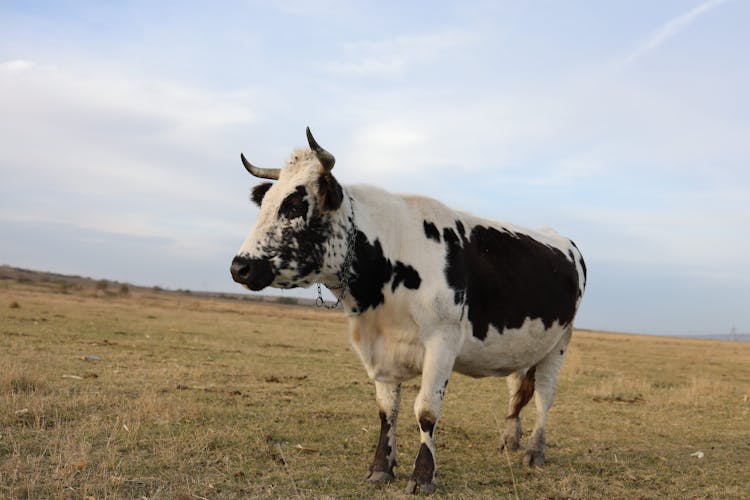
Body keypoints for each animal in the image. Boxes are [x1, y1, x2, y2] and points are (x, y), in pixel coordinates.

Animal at [229, 127, 588, 494]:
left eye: (294, 205)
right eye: (265, 204)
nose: (240, 267)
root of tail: (563, 240)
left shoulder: (442, 342)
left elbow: (426, 410)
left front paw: (423, 475)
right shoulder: (379, 347)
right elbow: (387, 410)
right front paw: (380, 467)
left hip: (560, 343)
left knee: (544, 396)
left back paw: (534, 451)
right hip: (524, 343)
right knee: (517, 389)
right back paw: (509, 440)